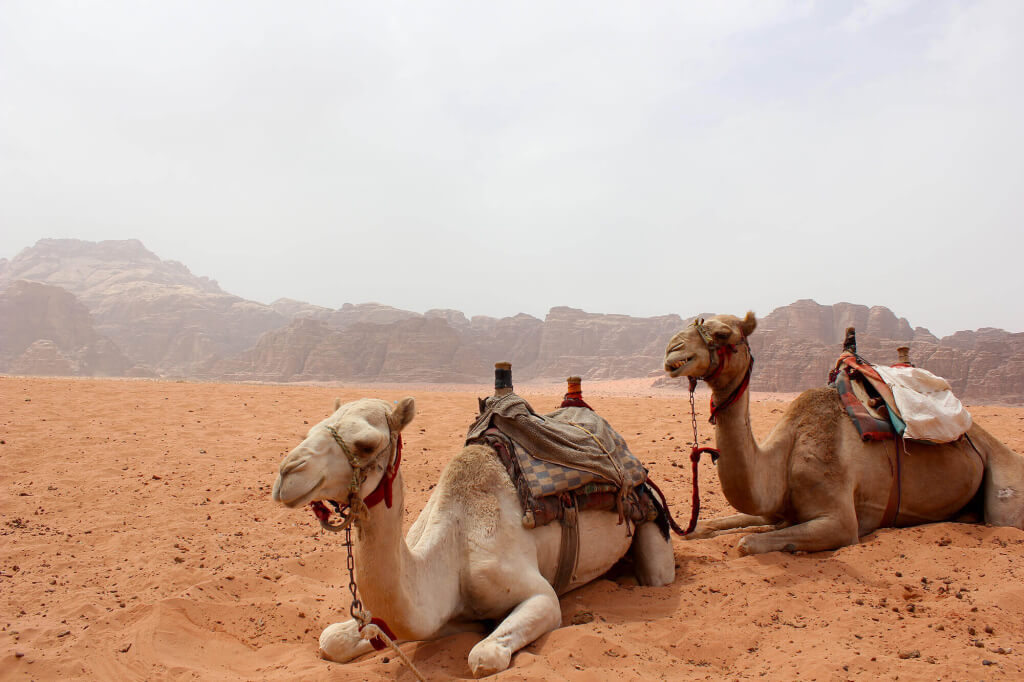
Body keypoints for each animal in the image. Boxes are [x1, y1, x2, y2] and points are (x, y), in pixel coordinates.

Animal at [272, 396, 674, 677]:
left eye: (366, 444)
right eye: (312, 429)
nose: (287, 474)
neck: (451, 548)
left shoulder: (538, 595)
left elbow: (483, 655)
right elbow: (331, 640)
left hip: (653, 528)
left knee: (657, 574)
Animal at [662, 312, 1024, 555]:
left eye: (723, 333)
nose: (672, 349)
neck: (783, 457)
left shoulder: (841, 522)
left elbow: (747, 542)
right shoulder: (773, 505)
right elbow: (710, 525)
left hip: (1005, 485)